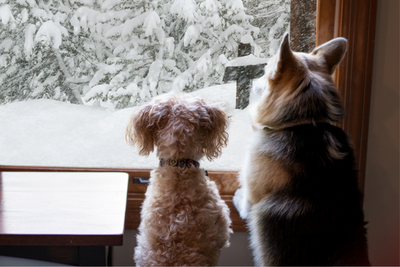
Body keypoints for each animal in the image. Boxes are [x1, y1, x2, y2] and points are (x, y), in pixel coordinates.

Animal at [233, 33, 370, 266]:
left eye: (267, 71)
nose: (254, 82)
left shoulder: (251, 197)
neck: (306, 122)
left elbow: (242, 200)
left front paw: (234, 196)